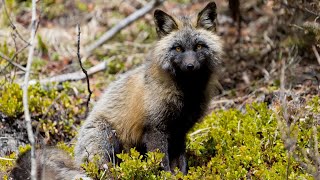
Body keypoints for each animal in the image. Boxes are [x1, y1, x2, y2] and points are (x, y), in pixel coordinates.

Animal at [74, 0, 222, 174]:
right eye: (178, 48)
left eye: (199, 46)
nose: (190, 66)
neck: (187, 94)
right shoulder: (155, 129)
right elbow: (162, 162)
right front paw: (166, 176)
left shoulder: (179, 131)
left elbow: (181, 162)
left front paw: (182, 175)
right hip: (107, 138)